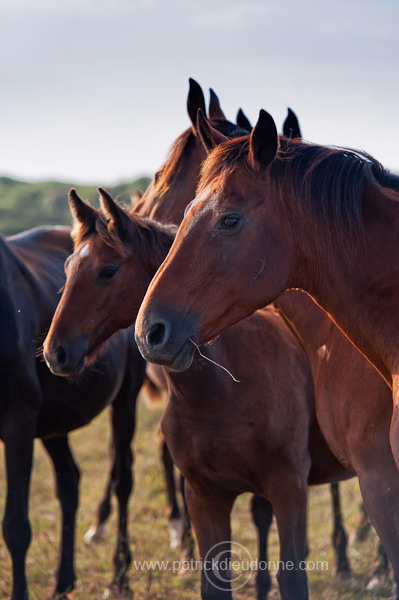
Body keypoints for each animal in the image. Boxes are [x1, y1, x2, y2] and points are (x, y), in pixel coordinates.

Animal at [44, 189, 360, 600]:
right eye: (67, 267)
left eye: (107, 270)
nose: (56, 352)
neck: (225, 388)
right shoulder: (204, 495)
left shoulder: (289, 490)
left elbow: (292, 575)